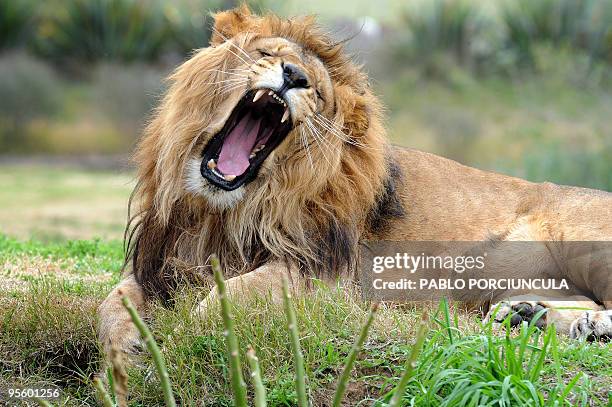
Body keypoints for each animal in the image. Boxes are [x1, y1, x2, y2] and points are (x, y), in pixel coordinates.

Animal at [98, 4, 608, 358]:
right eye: (267, 53)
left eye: (317, 89)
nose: (294, 75)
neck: (223, 210)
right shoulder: (157, 261)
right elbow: (113, 303)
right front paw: (126, 352)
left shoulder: (325, 275)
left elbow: (235, 292)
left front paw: (179, 339)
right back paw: (529, 316)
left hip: (581, 236)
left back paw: (589, 325)